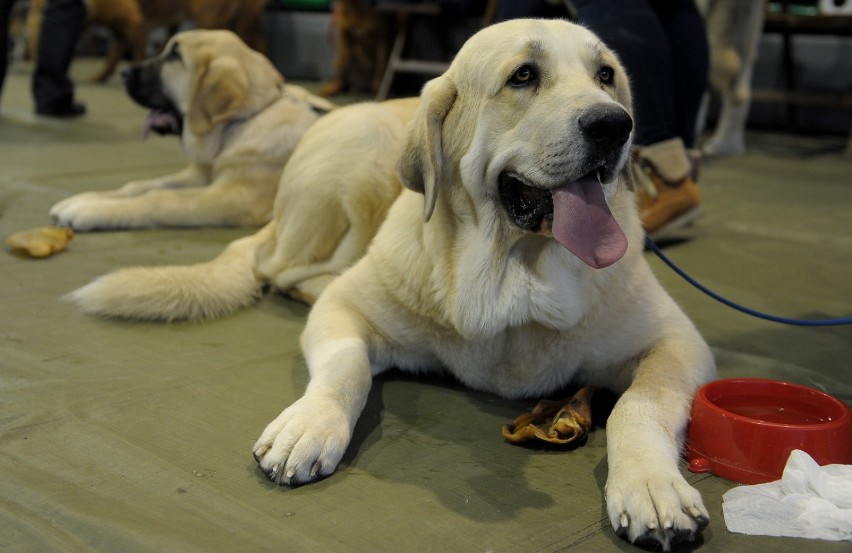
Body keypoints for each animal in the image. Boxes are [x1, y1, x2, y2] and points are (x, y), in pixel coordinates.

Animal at [49, 30, 336, 229]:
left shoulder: (236, 197)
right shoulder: (198, 176)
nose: (124, 72)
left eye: (174, 56)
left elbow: (159, 198)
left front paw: (89, 211)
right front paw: (84, 199)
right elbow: (141, 185)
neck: (242, 122)